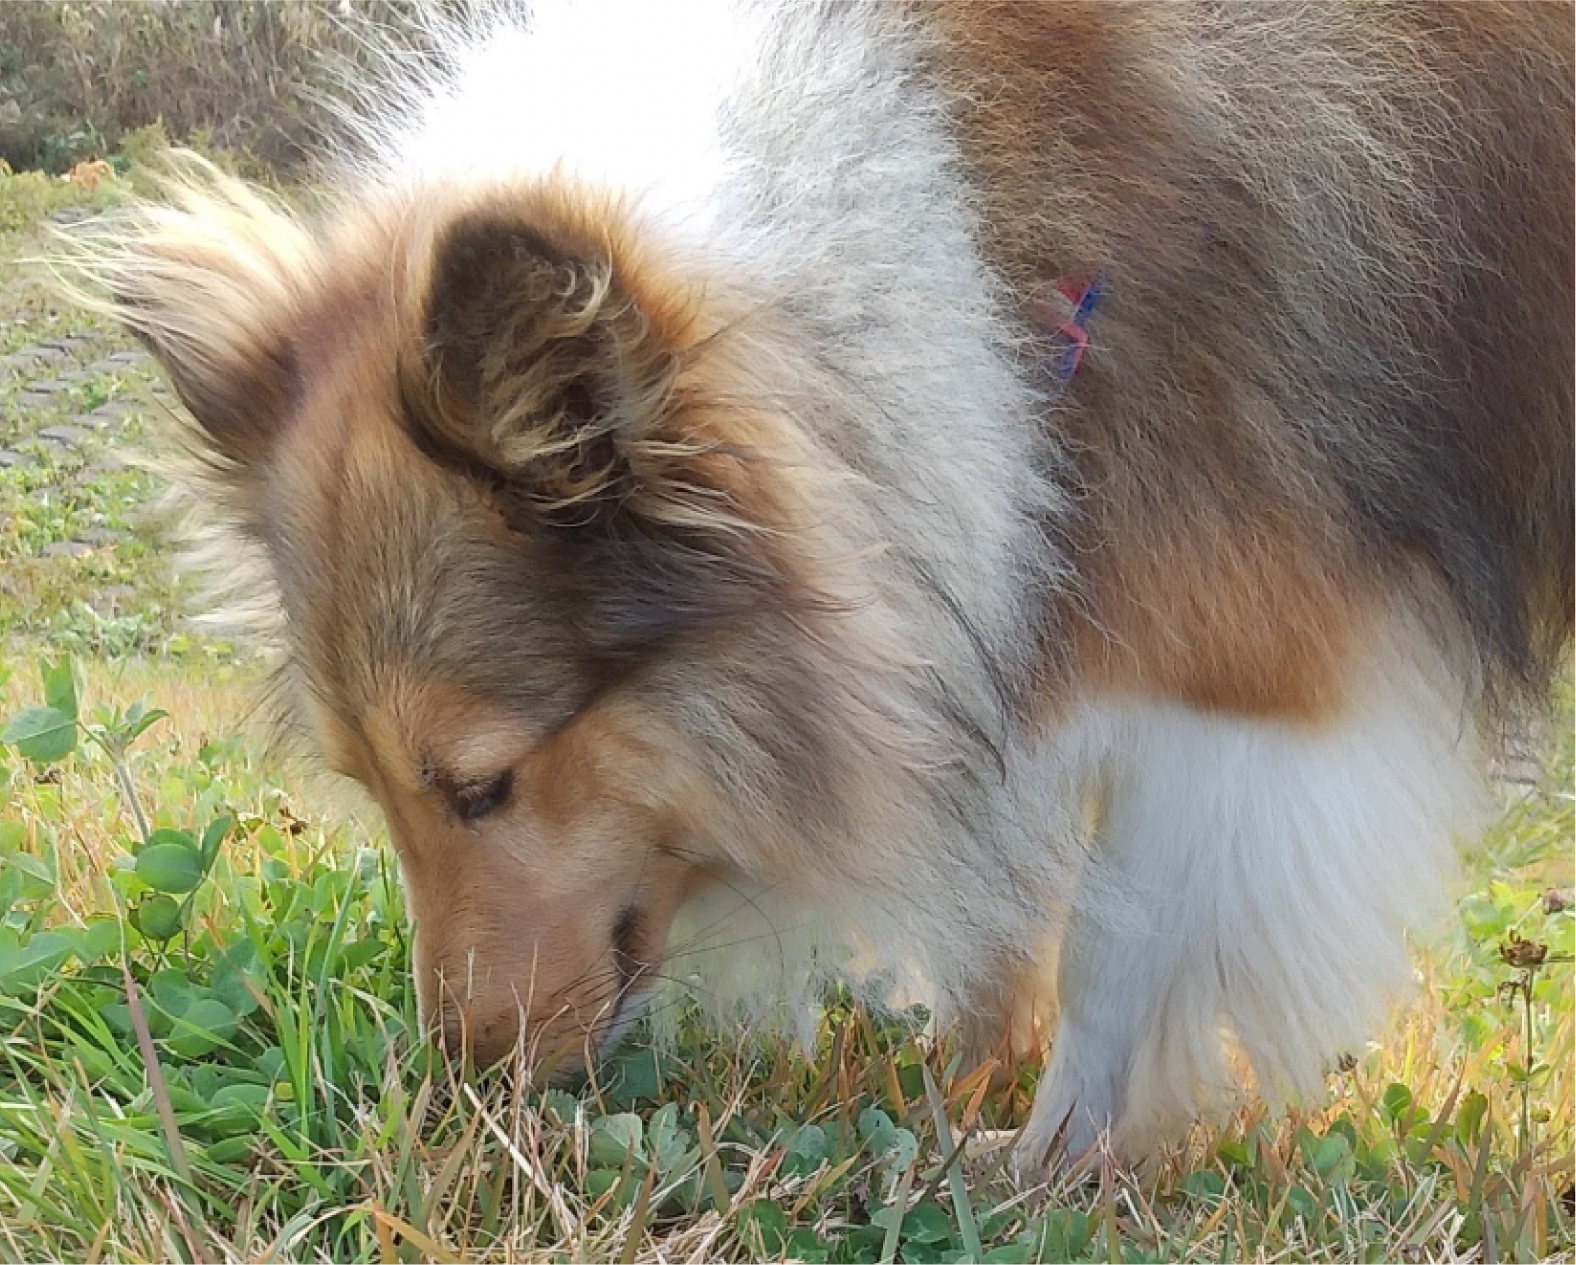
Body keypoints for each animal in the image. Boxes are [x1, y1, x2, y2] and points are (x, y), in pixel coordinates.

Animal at [89, 0, 1576, 1165]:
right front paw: (973, 1073)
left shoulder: (1245, 671)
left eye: (482, 783)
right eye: (369, 787)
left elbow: (1118, 946)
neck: (965, 251)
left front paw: (1037, 1166)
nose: (463, 1079)